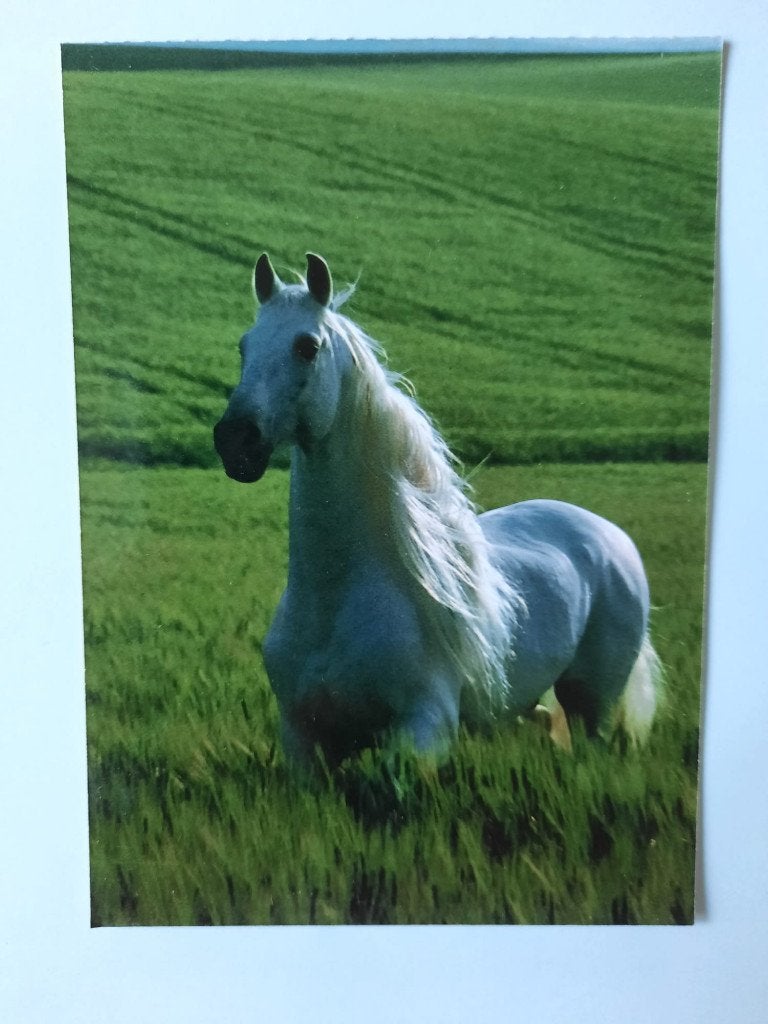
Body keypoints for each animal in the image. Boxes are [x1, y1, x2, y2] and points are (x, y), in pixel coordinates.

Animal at [214, 252, 662, 768]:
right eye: (244, 346)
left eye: (307, 346)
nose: (234, 441)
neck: (335, 600)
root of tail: (609, 532)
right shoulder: (302, 741)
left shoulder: (424, 728)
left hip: (594, 704)